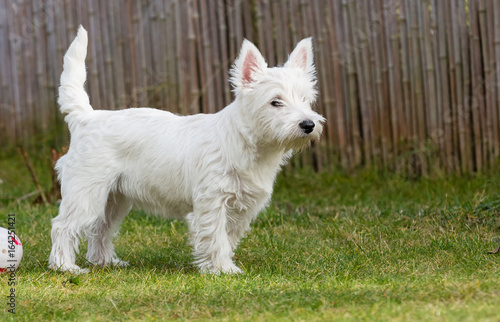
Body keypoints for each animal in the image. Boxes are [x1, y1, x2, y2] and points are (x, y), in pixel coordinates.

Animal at [49, 26, 324, 276]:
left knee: (101, 228)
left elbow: (228, 237)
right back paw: (65, 267)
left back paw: (105, 262)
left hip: (114, 199)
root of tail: (86, 117)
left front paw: (222, 265)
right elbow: (216, 237)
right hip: (86, 192)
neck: (249, 144)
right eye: (275, 102)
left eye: (305, 100)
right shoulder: (212, 202)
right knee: (63, 226)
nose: (308, 125)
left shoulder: (242, 208)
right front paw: (223, 270)